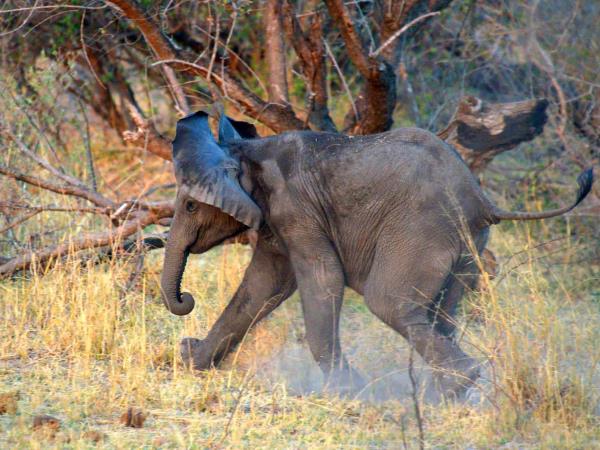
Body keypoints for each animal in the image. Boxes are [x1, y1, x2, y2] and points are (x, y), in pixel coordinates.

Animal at [161, 110, 596, 398]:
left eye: (190, 206)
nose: (186, 299)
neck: (245, 148)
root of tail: (482, 199)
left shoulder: (295, 209)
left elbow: (322, 279)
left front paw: (344, 390)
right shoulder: (275, 220)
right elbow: (261, 287)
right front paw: (192, 360)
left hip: (421, 232)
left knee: (389, 303)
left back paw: (456, 385)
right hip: (467, 245)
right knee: (440, 311)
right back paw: (445, 395)